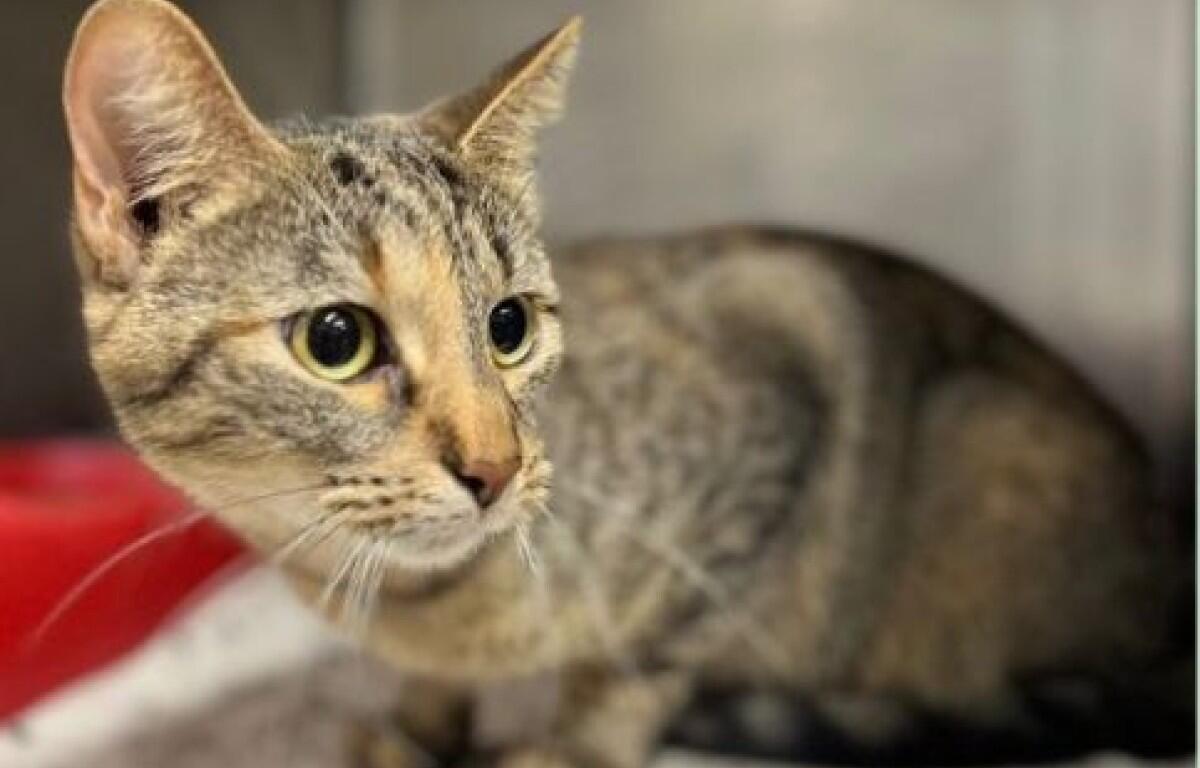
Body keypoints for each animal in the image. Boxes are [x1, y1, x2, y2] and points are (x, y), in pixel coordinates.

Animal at [61, 0, 1189, 766]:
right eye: (336, 338)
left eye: (509, 326)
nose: (496, 468)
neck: (417, 595)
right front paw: (417, 729)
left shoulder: (782, 361)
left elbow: (636, 667)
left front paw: (567, 748)